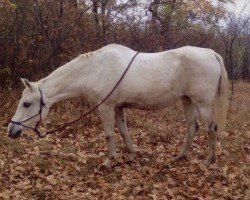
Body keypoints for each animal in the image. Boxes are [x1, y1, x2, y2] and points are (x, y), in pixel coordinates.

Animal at [7, 43, 229, 167]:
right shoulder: (118, 107)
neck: (94, 69)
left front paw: (109, 161)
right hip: (187, 100)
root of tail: (211, 53)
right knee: (192, 127)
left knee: (211, 128)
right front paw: (131, 155)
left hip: (201, 103)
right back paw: (179, 158)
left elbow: (109, 134)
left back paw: (208, 161)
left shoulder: (105, 107)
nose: (11, 130)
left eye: (26, 103)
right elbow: (123, 131)